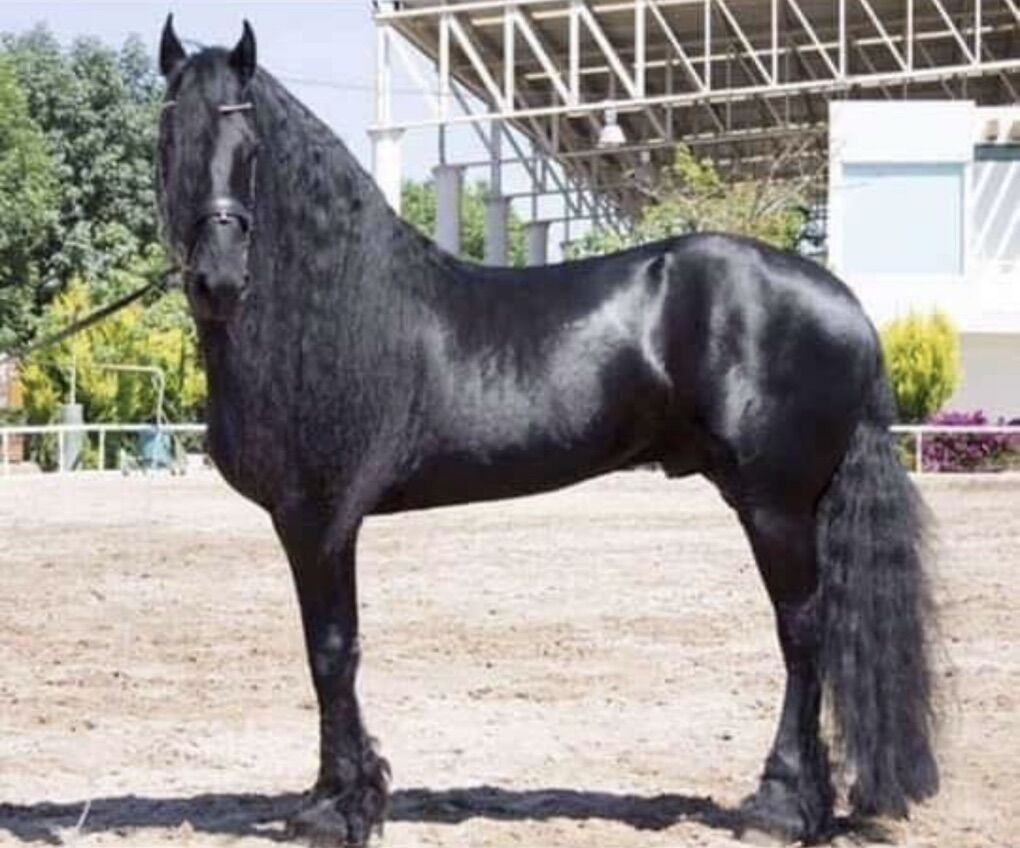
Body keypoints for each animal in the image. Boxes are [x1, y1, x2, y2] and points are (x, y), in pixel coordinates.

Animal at [155, 17, 938, 846]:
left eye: (250, 145)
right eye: (172, 132)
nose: (217, 280)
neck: (326, 310)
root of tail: (845, 304)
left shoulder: (320, 519)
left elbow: (332, 652)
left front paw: (337, 808)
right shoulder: (315, 524)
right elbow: (329, 653)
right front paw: (342, 795)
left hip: (776, 508)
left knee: (802, 635)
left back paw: (779, 805)